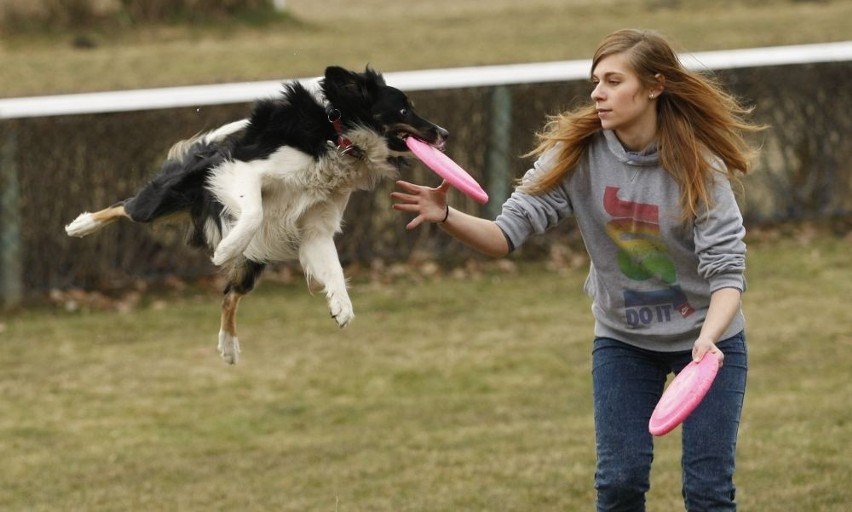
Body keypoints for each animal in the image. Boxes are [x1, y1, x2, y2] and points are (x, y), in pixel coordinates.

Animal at [64, 67, 450, 364]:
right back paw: (81, 225)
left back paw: (229, 346)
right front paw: (225, 249)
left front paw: (341, 305)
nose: (444, 133)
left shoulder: (316, 227)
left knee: (228, 297)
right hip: (164, 199)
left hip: (252, 264)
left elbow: (333, 267)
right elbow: (254, 211)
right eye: (404, 109)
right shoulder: (242, 171)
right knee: (124, 206)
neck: (340, 139)